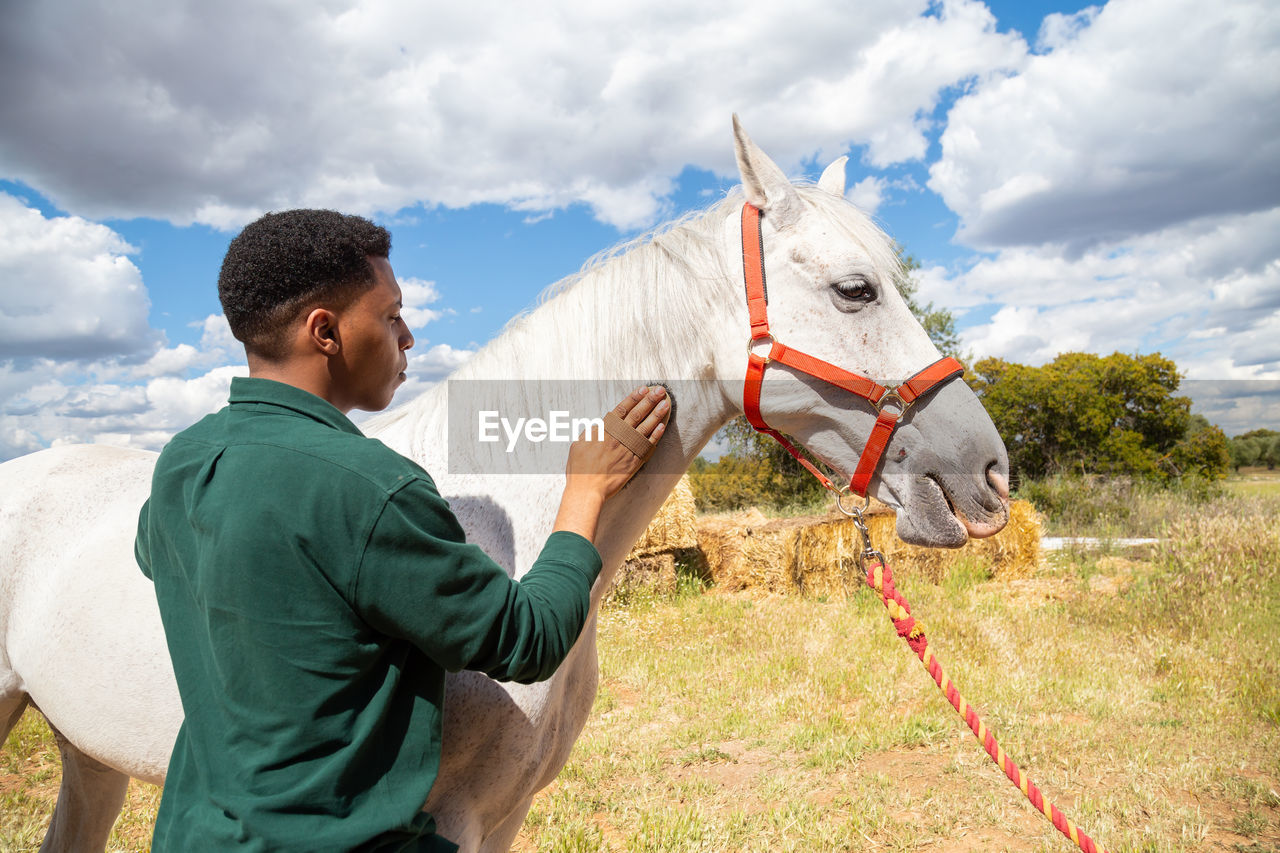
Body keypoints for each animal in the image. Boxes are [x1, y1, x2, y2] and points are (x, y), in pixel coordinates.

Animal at [0, 121, 1008, 850]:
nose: (988, 473)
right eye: (854, 289)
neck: (510, 522)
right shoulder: (449, 819)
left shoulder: (508, 812)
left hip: (87, 750)